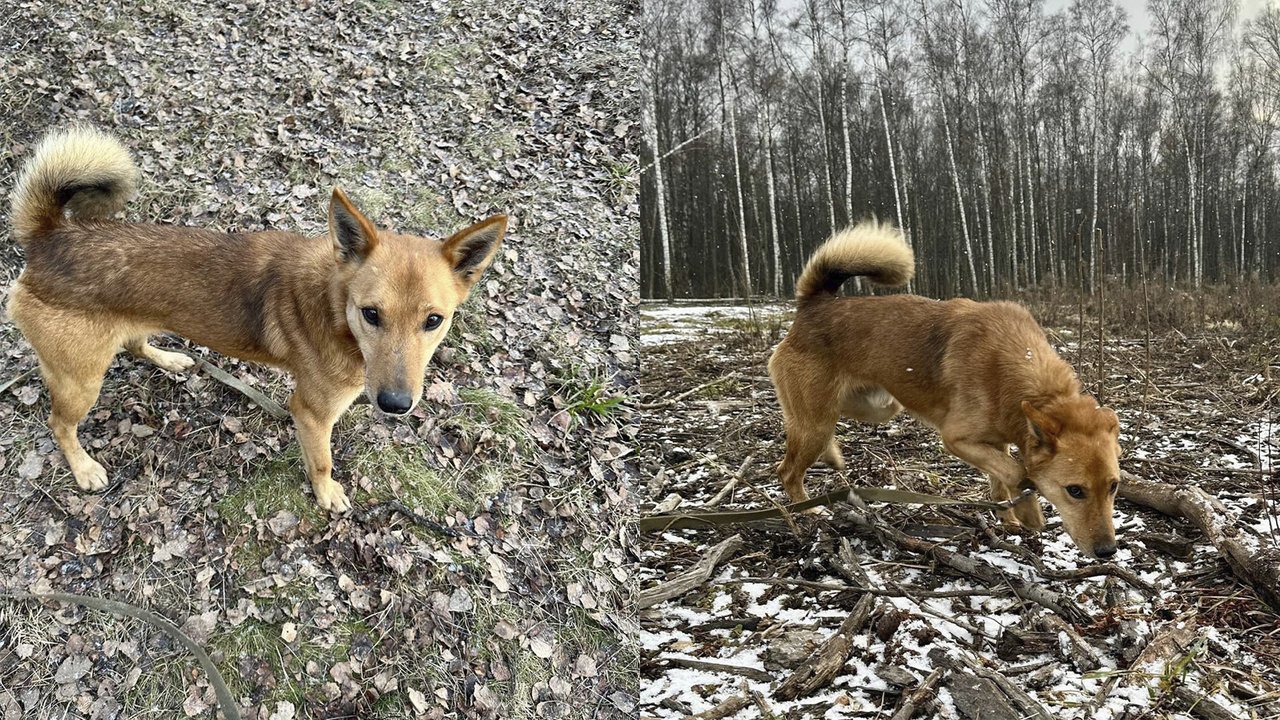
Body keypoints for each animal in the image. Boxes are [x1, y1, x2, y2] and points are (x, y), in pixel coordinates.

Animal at [6, 128, 504, 509]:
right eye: (371, 314)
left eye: (433, 321)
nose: (396, 404)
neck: (333, 306)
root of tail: (48, 238)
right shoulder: (311, 414)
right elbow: (322, 461)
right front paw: (327, 493)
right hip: (81, 380)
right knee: (59, 424)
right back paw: (83, 467)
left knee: (134, 341)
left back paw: (169, 359)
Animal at [768, 221, 1121, 558]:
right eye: (1075, 490)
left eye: (1114, 487)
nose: (1107, 551)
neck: (1025, 376)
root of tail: (814, 304)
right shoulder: (957, 438)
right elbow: (1016, 472)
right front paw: (1029, 511)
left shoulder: (995, 442)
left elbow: (1000, 479)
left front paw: (1008, 517)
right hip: (816, 423)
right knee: (788, 471)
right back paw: (808, 511)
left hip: (878, 408)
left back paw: (832, 455)